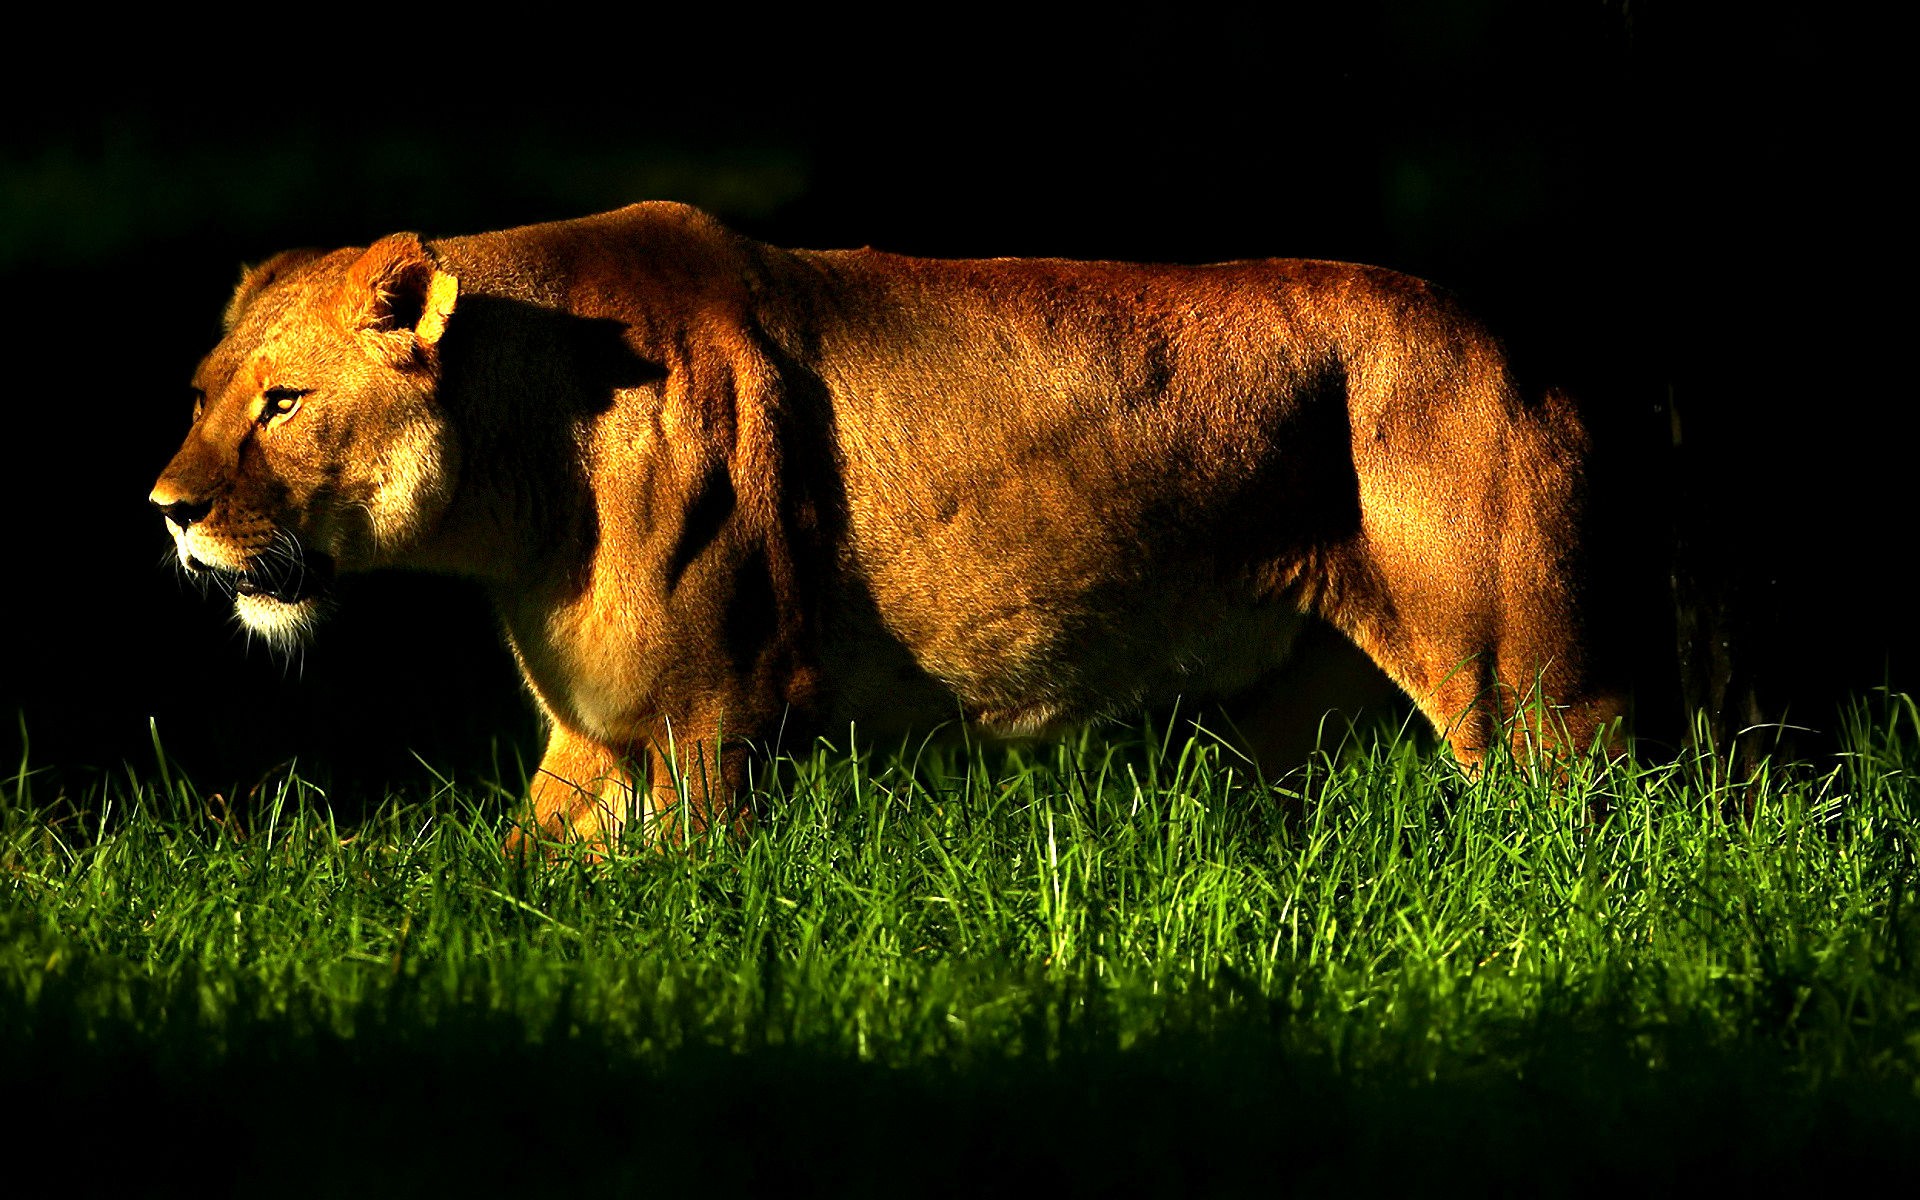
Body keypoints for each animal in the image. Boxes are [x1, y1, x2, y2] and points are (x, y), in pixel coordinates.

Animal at [150, 201, 1623, 845]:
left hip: (1524, 683)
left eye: (284, 403)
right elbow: (513, 880)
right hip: (1291, 722)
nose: (166, 513)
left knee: (1595, 825)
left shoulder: (712, 716)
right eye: (203, 395)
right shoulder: (596, 726)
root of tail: (1516, 344)